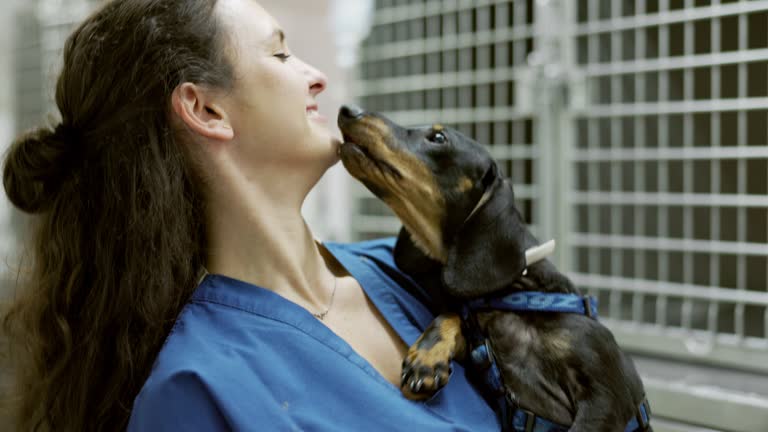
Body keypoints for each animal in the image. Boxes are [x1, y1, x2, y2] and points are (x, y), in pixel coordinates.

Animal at [340, 105, 652, 432]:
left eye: (438, 138)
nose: (349, 110)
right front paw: (426, 357)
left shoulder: (607, 397)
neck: (519, 295)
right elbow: (453, 315)